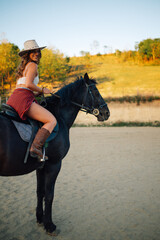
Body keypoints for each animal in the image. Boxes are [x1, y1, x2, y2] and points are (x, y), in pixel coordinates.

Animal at [0, 72, 109, 234]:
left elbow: (40, 192)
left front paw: (40, 218)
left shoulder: (41, 166)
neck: (59, 116)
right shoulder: (54, 164)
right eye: (95, 92)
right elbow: (50, 195)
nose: (106, 112)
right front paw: (49, 225)